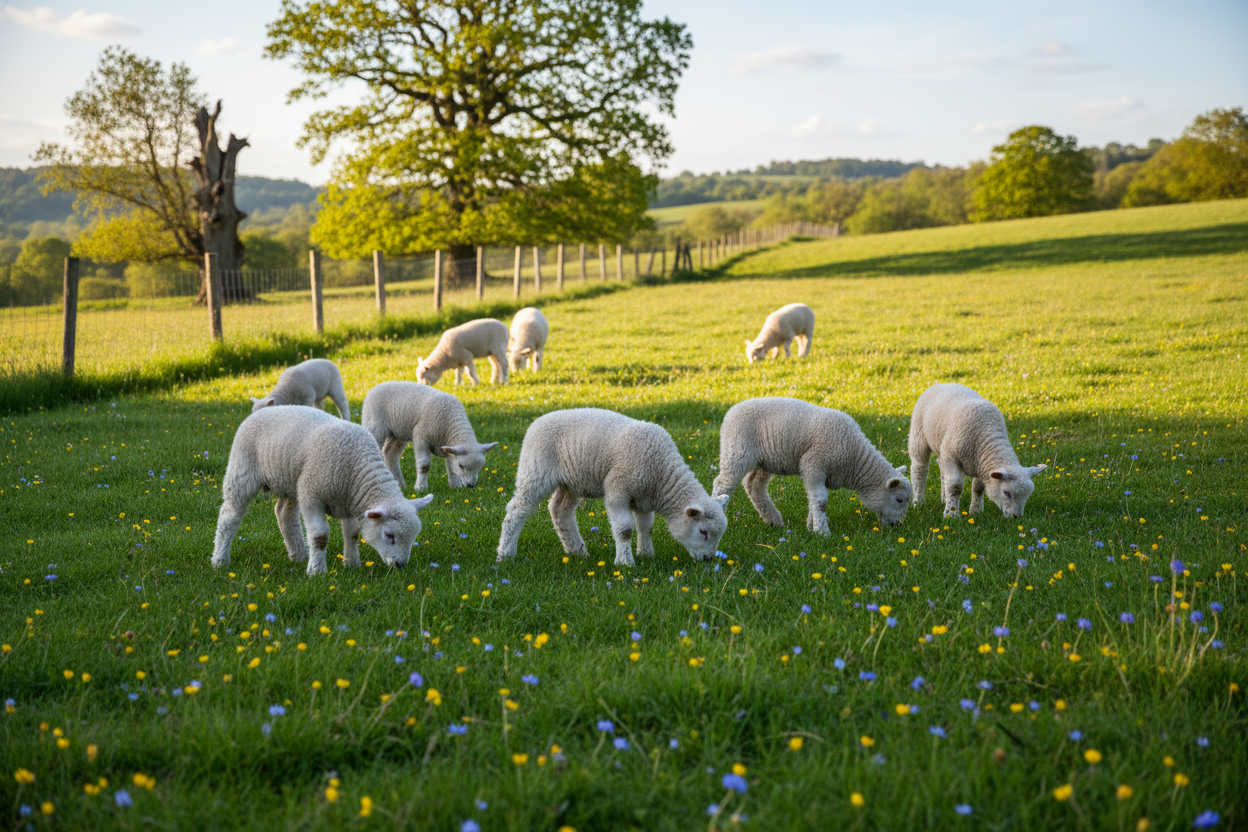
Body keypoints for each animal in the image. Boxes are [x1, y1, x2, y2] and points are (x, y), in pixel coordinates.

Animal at [212, 406, 435, 576]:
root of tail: (263, 409)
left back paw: (299, 555)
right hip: (242, 471)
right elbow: (320, 535)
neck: (358, 469)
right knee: (229, 516)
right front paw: (317, 571)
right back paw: (220, 560)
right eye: (389, 535)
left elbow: (352, 534)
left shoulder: (349, 501)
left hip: (292, 481)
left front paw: (351, 564)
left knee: (284, 513)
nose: (400, 565)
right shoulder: (312, 497)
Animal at [361, 380, 498, 491]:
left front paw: (455, 486)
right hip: (374, 424)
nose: (470, 486)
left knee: (390, 454)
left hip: (398, 433)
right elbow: (424, 465)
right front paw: (420, 488)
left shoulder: (447, 445)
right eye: (461, 466)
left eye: (480, 467)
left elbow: (450, 467)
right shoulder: (421, 436)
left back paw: (399, 484)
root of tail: (376, 386)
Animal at [496, 408, 729, 566]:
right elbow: (625, 529)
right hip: (536, 470)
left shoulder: (644, 497)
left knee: (559, 509)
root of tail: (537, 421)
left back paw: (577, 551)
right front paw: (625, 562)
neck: (661, 473)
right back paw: (505, 554)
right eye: (703, 532)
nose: (708, 559)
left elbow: (646, 526)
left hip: (572, 481)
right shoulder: (618, 489)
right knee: (517, 510)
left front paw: (646, 554)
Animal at [712, 397, 912, 535]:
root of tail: (731, 411)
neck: (854, 458)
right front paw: (822, 532)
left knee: (754, 485)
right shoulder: (813, 464)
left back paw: (774, 520)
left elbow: (813, 498)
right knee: (723, 483)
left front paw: (811, 525)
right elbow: (821, 501)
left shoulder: (821, 473)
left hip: (765, 461)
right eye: (899, 499)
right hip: (737, 451)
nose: (898, 525)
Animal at [908, 383, 1047, 518]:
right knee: (919, 469)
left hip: (943, 449)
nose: (1016, 517)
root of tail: (941, 383)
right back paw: (918, 502)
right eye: (1007, 493)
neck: (988, 433)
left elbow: (978, 487)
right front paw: (951, 515)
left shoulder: (981, 464)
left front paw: (975, 511)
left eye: (1028, 495)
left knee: (941, 467)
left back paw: (944, 499)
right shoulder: (953, 457)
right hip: (919, 436)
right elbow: (955, 486)